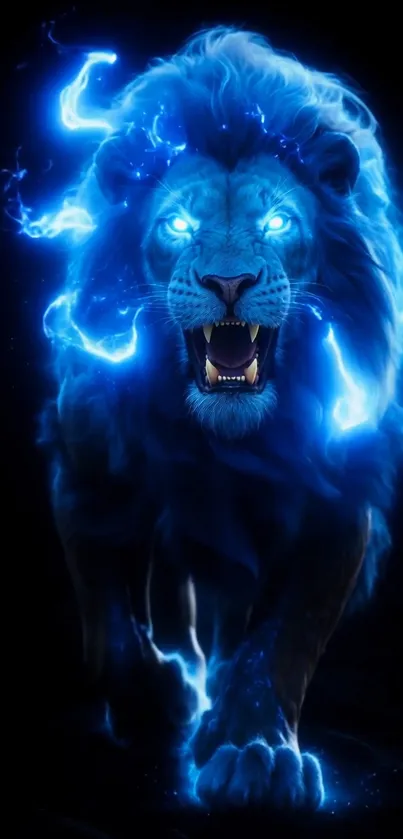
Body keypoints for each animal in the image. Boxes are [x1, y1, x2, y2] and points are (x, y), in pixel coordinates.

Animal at [41, 27, 403, 810]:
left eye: (276, 221)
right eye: (178, 225)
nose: (228, 281)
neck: (224, 444)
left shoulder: (336, 502)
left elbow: (282, 644)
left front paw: (254, 752)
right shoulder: (88, 480)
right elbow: (108, 632)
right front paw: (157, 706)